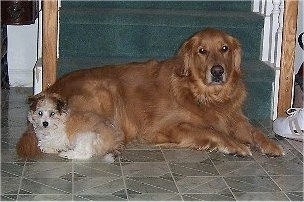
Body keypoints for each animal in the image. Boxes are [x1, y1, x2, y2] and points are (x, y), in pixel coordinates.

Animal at [16, 28, 284, 158]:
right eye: (202, 51)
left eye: (225, 48)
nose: (217, 71)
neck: (206, 96)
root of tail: (51, 89)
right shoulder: (164, 127)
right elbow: (212, 130)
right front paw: (235, 146)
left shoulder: (235, 117)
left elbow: (254, 131)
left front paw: (270, 145)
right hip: (106, 90)